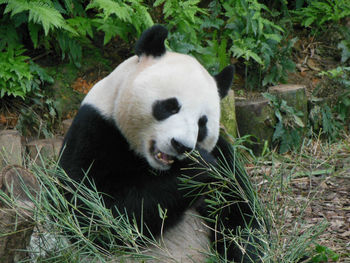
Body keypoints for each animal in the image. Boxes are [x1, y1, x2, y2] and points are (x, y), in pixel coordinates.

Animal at [60, 25, 262, 263]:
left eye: (202, 123)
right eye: (170, 106)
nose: (181, 145)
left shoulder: (223, 154)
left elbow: (240, 213)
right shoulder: (94, 131)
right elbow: (93, 211)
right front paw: (198, 167)